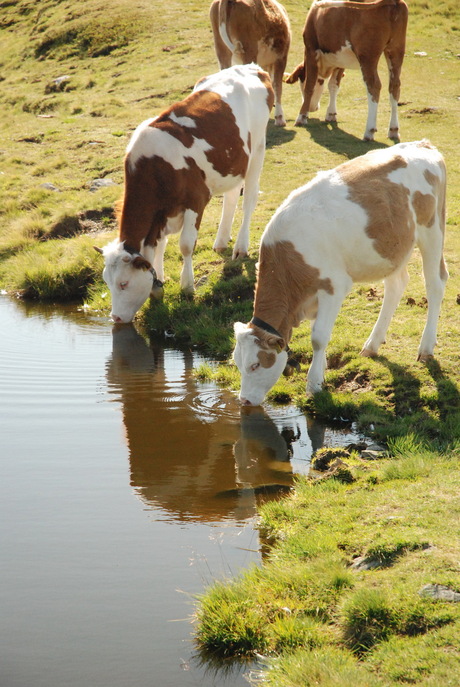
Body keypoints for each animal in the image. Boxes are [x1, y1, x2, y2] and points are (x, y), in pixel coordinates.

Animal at [94, 64, 274, 322]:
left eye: (123, 283)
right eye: (107, 282)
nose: (115, 318)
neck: (155, 168)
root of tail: (251, 67)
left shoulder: (195, 201)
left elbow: (186, 245)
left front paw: (187, 286)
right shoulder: (159, 215)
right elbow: (157, 246)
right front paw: (158, 281)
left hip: (258, 149)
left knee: (249, 198)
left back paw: (240, 247)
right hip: (233, 163)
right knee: (231, 196)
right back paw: (221, 241)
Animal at [234, 142, 446, 406]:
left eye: (255, 365)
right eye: (237, 364)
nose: (243, 401)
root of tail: (423, 144)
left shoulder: (334, 285)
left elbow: (318, 336)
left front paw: (314, 384)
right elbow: (318, 333)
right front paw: (322, 369)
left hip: (432, 230)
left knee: (435, 284)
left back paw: (426, 348)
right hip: (391, 248)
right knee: (396, 285)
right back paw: (372, 344)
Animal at [286, 0, 408, 141]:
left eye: (301, 83)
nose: (312, 108)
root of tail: (395, 1)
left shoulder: (311, 50)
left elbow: (310, 86)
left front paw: (301, 117)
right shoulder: (340, 60)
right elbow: (333, 85)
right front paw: (331, 114)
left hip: (367, 56)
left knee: (374, 86)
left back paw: (369, 131)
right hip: (395, 50)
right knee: (394, 86)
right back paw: (393, 130)